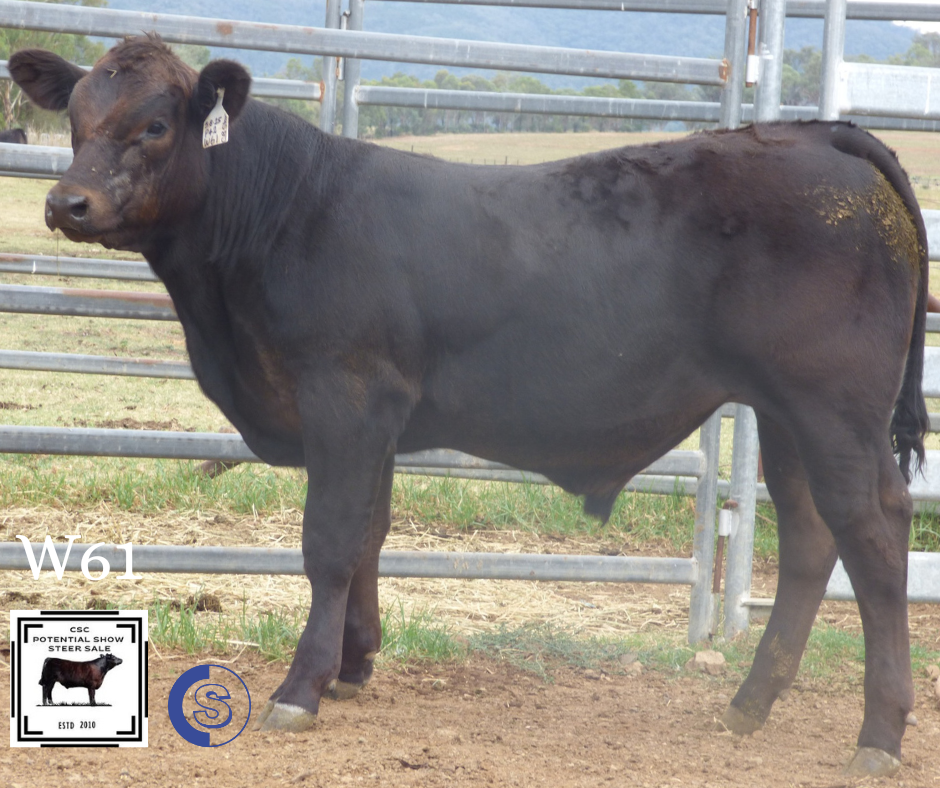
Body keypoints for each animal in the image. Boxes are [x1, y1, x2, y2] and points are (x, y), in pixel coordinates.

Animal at [9, 36, 927, 778]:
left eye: (156, 126)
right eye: (77, 119)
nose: (67, 203)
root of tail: (812, 130)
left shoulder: (345, 398)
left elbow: (330, 543)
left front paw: (303, 686)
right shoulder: (375, 422)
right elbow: (370, 535)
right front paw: (355, 667)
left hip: (834, 409)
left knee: (874, 536)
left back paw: (878, 735)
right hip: (784, 413)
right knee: (810, 539)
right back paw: (749, 706)